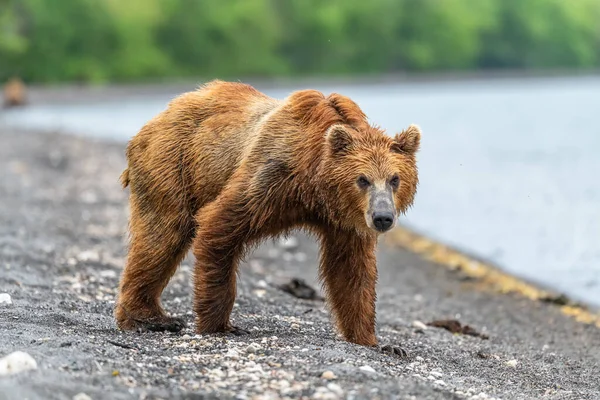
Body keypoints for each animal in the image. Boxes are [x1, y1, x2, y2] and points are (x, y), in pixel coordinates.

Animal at [115, 80, 420, 350]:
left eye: (394, 179)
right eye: (363, 179)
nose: (383, 217)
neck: (313, 183)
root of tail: (156, 119)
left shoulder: (344, 220)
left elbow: (351, 270)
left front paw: (377, 342)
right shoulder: (270, 175)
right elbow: (219, 225)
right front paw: (221, 324)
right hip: (171, 164)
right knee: (163, 235)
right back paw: (151, 318)